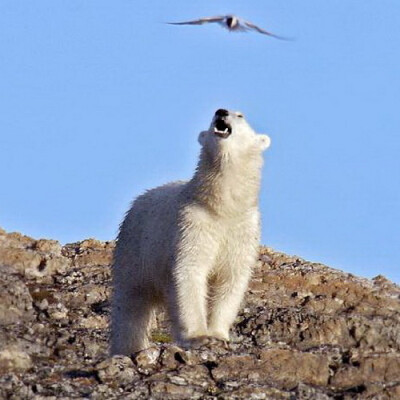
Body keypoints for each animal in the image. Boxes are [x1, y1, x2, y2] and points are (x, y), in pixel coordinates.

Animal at [111, 108, 270, 354]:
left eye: (240, 115)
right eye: (215, 115)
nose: (221, 111)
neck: (222, 207)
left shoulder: (242, 230)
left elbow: (230, 278)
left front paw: (218, 334)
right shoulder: (192, 223)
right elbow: (190, 270)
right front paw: (198, 336)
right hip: (135, 251)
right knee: (131, 304)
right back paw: (128, 347)